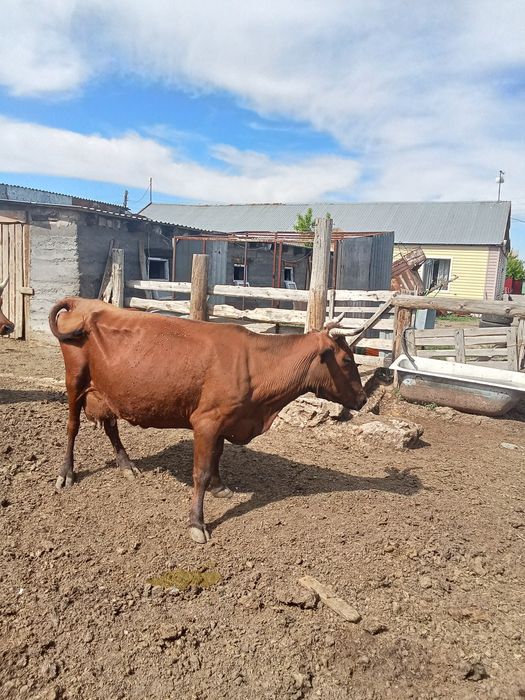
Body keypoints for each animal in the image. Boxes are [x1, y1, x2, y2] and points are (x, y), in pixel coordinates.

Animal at [49, 297, 367, 543]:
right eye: (346, 360)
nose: (363, 400)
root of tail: (83, 301)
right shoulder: (206, 421)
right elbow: (199, 472)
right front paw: (197, 523)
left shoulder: (225, 421)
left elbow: (217, 455)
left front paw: (219, 486)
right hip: (74, 381)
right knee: (72, 427)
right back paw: (66, 473)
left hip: (108, 389)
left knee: (111, 426)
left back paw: (127, 465)